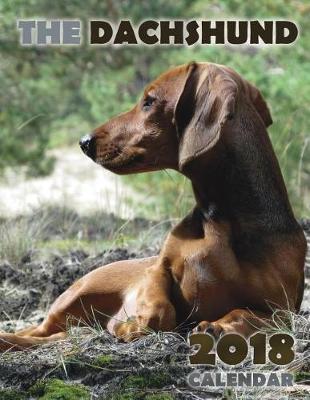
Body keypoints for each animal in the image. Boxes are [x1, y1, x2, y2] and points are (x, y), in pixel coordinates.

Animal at [0, 61, 306, 350]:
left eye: (149, 101)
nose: (84, 141)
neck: (220, 219)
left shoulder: (281, 310)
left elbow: (245, 313)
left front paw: (218, 326)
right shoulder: (157, 270)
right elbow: (160, 308)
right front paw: (131, 324)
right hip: (74, 296)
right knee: (36, 331)